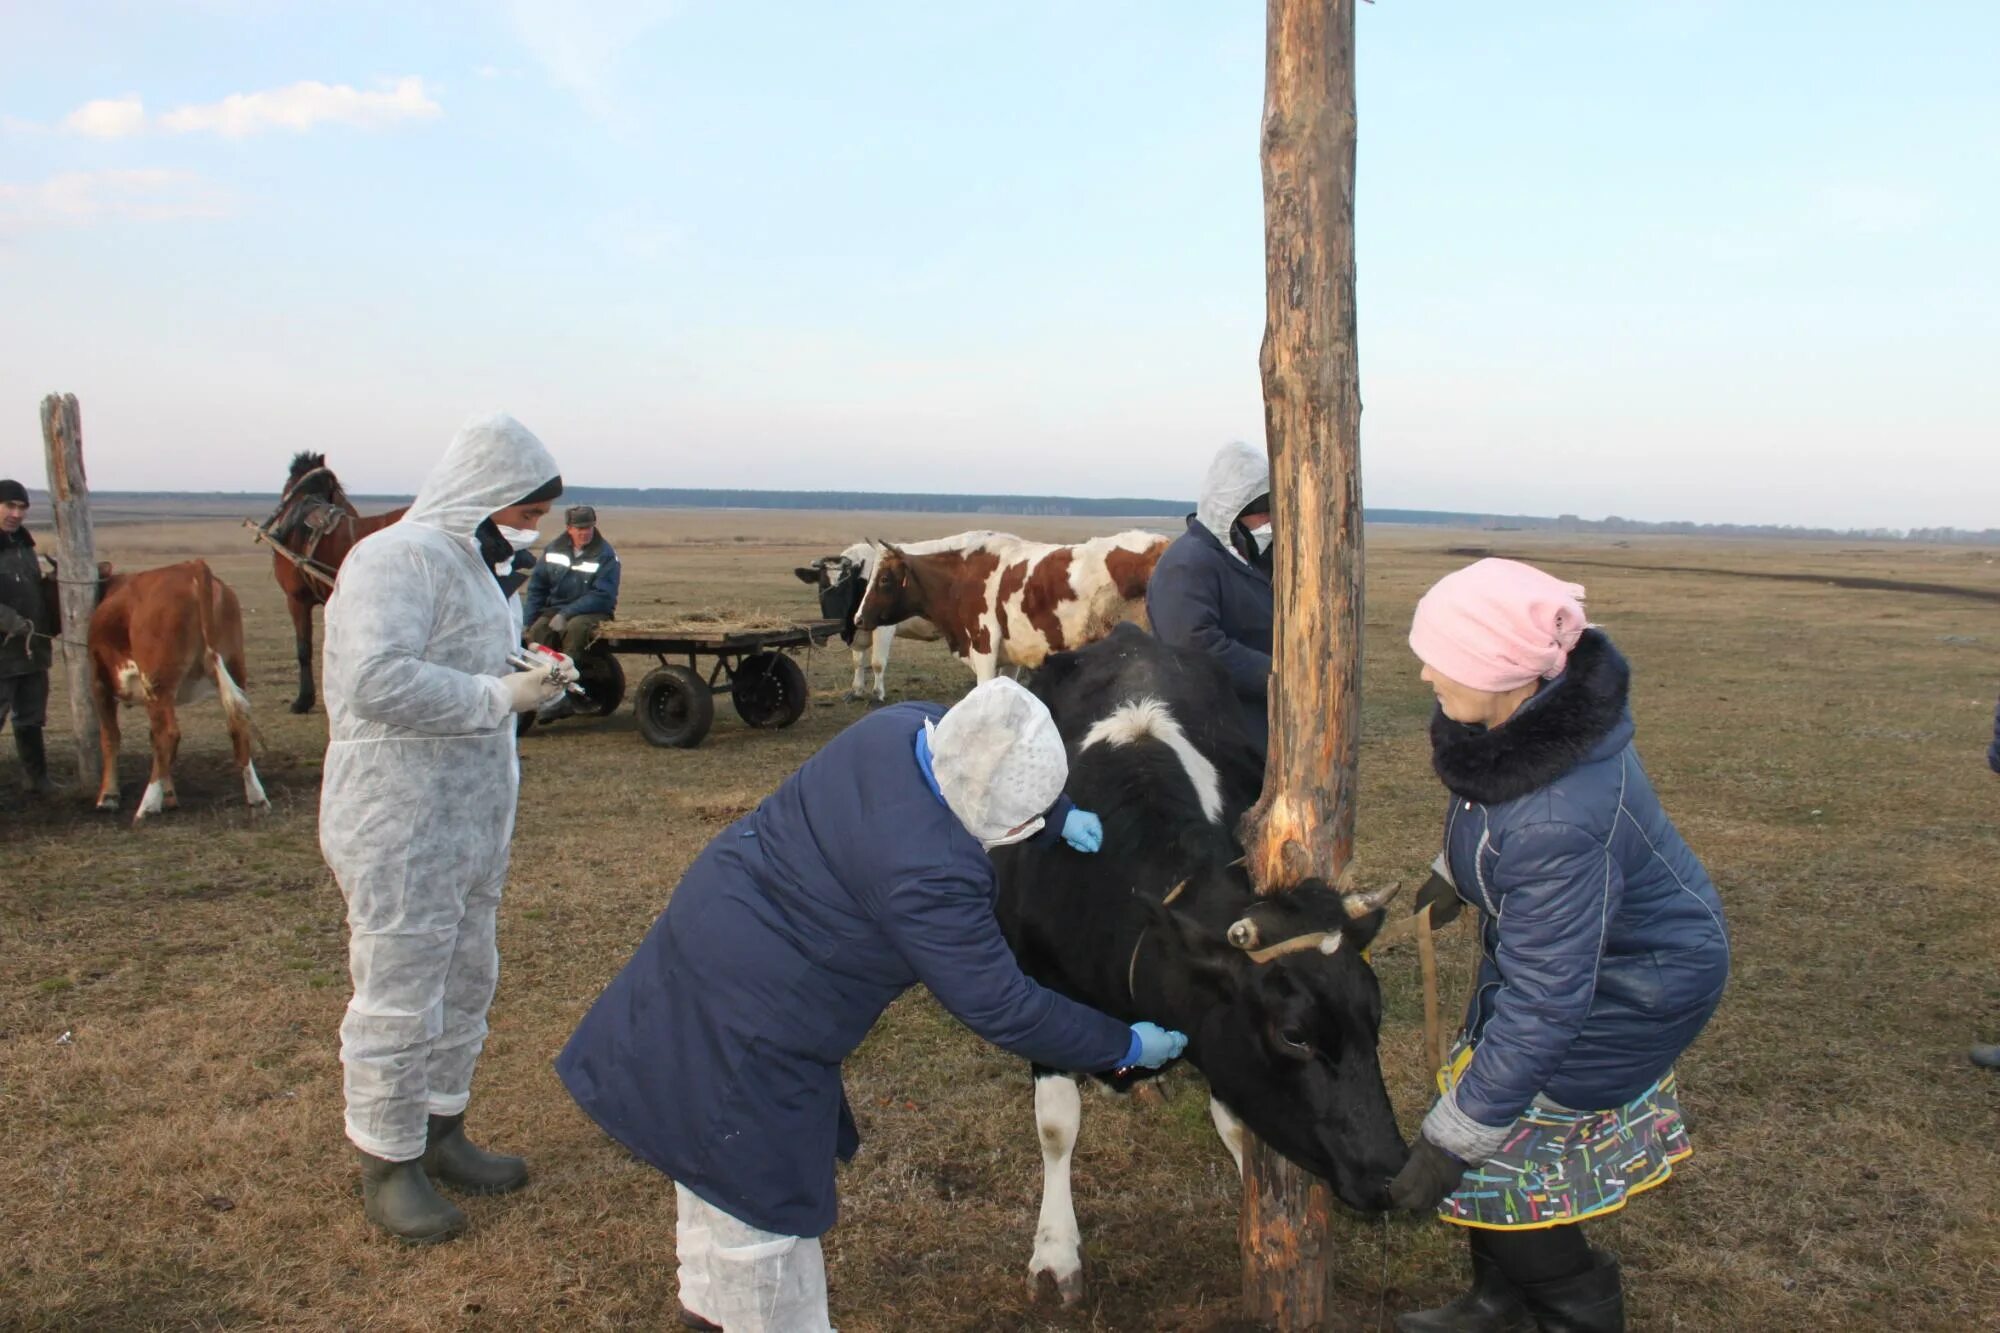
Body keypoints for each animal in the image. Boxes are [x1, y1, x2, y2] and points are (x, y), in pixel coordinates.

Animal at [89, 552, 266, 820]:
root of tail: (192, 567)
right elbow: (153, 740)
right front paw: (169, 794)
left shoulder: (100, 683)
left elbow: (111, 737)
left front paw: (108, 796)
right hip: (232, 668)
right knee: (238, 723)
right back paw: (256, 796)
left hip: (157, 682)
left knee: (170, 734)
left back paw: (147, 804)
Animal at [852, 528, 1168, 680]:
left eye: (884, 579)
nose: (858, 619)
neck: (960, 578)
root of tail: (1160, 545)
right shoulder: (1013, 657)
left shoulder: (983, 650)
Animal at [996, 624, 1408, 1296]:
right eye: (1293, 1035)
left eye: (1375, 1017)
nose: (1396, 1175)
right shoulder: (1034, 989)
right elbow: (1056, 1126)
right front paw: (1055, 1253)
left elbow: (1237, 1123)